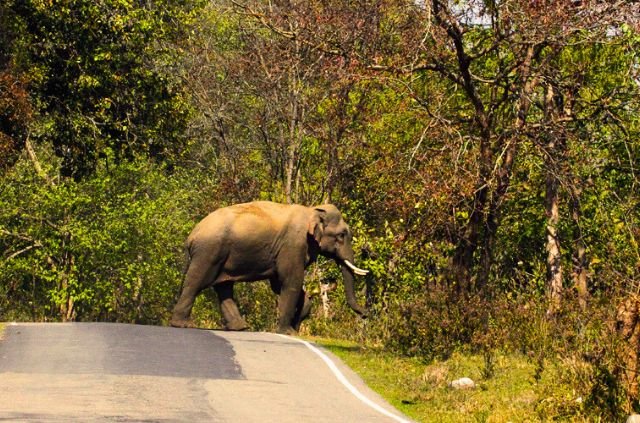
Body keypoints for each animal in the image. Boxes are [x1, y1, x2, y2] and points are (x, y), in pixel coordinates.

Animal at [170, 201, 369, 334]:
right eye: (341, 235)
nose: (365, 315)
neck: (312, 210)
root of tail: (191, 236)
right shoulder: (293, 245)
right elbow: (290, 281)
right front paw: (287, 332)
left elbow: (279, 285)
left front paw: (297, 322)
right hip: (209, 252)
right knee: (196, 282)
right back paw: (183, 325)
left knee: (223, 288)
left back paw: (240, 328)